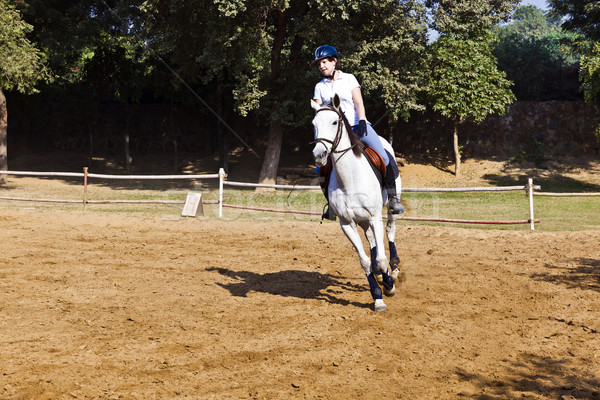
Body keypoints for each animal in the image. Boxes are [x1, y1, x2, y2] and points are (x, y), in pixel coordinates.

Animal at [310, 94, 404, 312]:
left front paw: (389, 286)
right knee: (371, 241)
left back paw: (394, 268)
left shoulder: (375, 217)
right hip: (362, 220)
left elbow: (381, 258)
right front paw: (377, 296)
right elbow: (365, 261)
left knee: (389, 231)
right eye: (314, 124)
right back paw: (380, 275)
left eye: (334, 122)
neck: (350, 179)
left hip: (389, 208)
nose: (319, 155)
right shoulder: (347, 223)